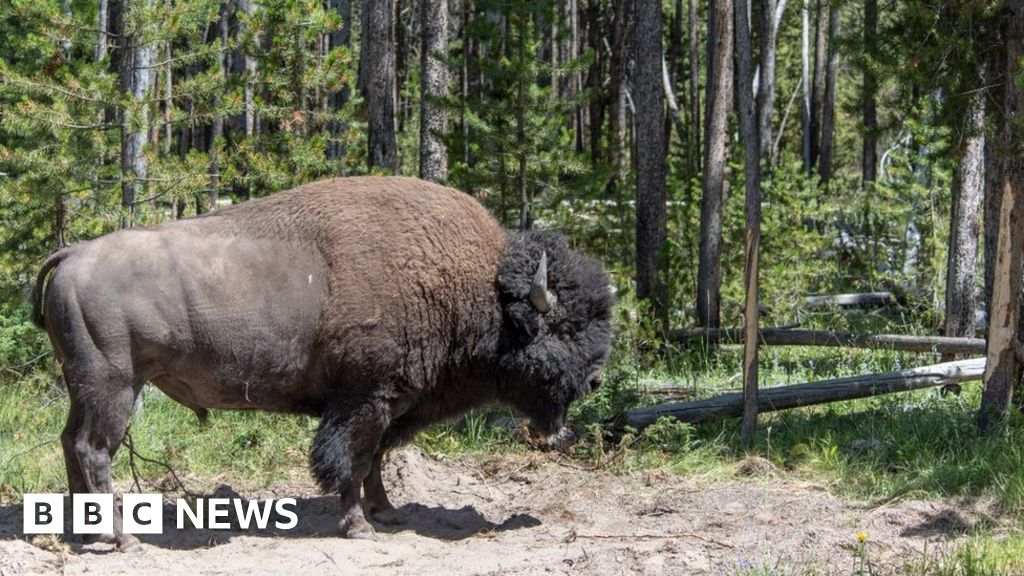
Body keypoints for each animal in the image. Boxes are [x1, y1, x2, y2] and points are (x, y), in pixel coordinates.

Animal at [32, 176, 613, 549]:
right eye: (563, 328)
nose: (593, 380)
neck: (475, 288)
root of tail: (72, 254)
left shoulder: (389, 404)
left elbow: (375, 460)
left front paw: (387, 513)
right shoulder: (363, 399)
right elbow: (350, 462)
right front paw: (359, 527)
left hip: (83, 386)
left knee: (69, 441)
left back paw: (79, 534)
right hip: (115, 386)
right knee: (94, 450)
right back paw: (121, 539)